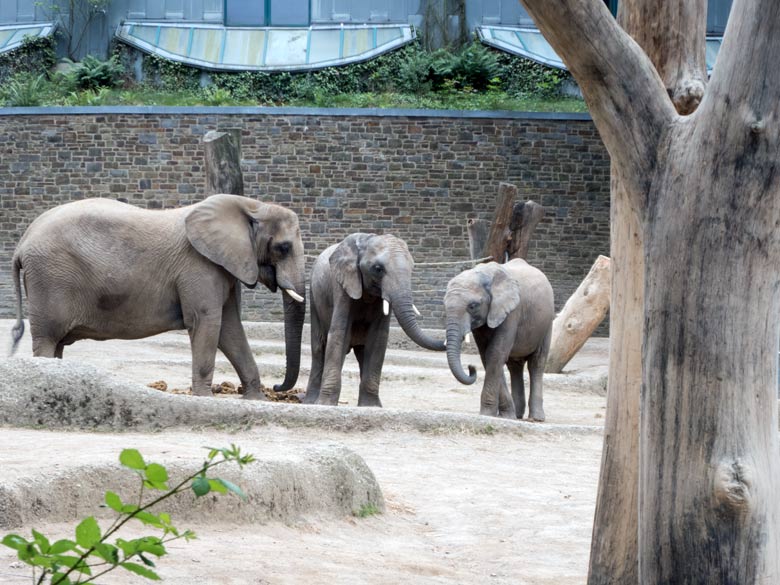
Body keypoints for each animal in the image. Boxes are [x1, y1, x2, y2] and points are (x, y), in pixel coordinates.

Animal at [10, 194, 308, 400]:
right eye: (283, 247)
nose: (278, 387)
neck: (251, 205)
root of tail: (22, 244)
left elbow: (230, 329)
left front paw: (256, 399)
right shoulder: (198, 266)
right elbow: (207, 323)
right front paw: (204, 398)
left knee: (57, 343)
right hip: (50, 278)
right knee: (47, 339)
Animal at [304, 233, 444, 406]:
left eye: (412, 268)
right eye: (378, 269)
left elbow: (378, 338)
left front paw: (371, 407)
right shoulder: (343, 285)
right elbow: (339, 333)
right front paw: (325, 405)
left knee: (361, 352)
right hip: (313, 296)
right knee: (319, 347)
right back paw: (310, 402)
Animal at [444, 258, 556, 420]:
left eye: (473, 306)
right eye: (444, 304)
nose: (471, 368)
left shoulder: (512, 312)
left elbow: (495, 353)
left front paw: (488, 414)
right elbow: (488, 356)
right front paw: (506, 415)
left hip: (546, 323)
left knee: (537, 363)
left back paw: (536, 418)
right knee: (515, 366)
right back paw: (517, 414)